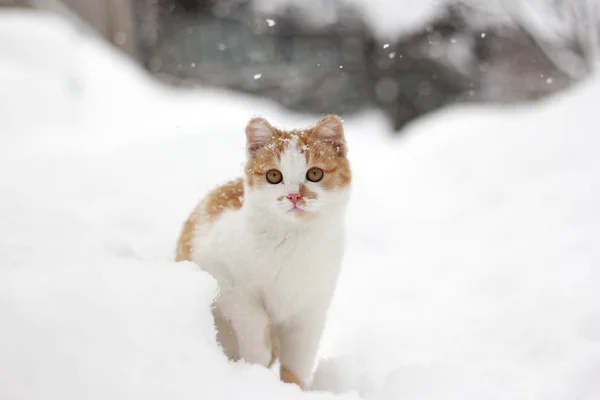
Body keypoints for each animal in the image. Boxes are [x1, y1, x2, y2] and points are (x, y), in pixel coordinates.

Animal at [175, 114, 352, 390]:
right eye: (273, 176)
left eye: (315, 173)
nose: (293, 196)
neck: (293, 244)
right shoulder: (225, 279)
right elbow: (254, 323)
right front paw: (255, 371)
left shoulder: (312, 309)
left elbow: (299, 360)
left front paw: (293, 389)